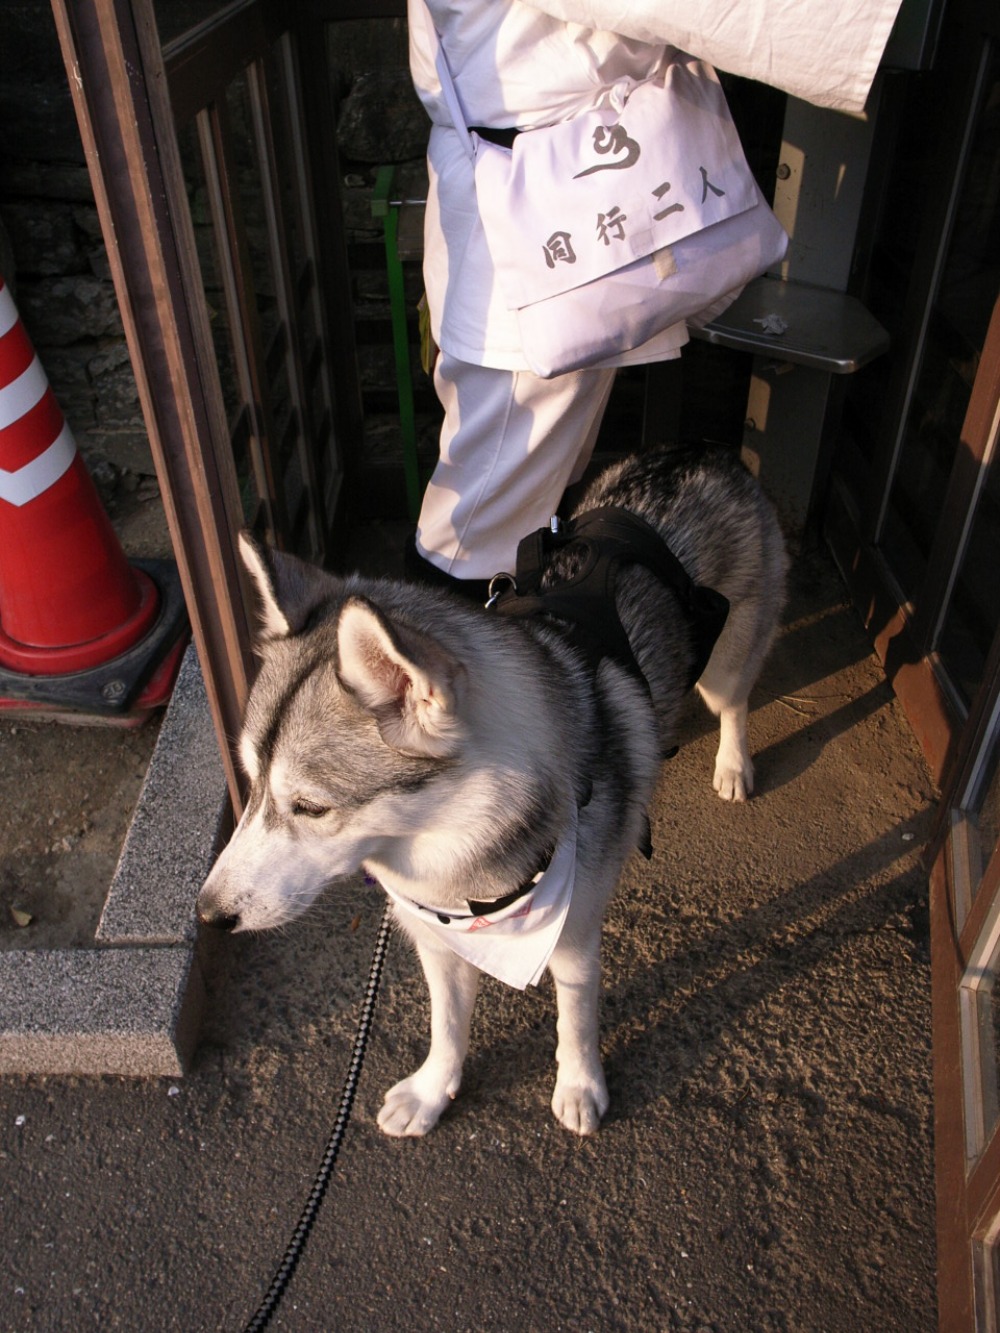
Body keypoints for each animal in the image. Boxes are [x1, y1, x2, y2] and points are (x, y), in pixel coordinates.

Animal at [197, 445, 789, 1135]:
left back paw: (732, 764)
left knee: (734, 702)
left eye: (311, 808)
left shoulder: (574, 940)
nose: (208, 914)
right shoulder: (437, 942)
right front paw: (434, 1090)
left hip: (726, 663)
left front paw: (580, 1086)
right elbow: (448, 1026)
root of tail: (700, 452)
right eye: (250, 782)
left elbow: (576, 1022)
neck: (453, 852)